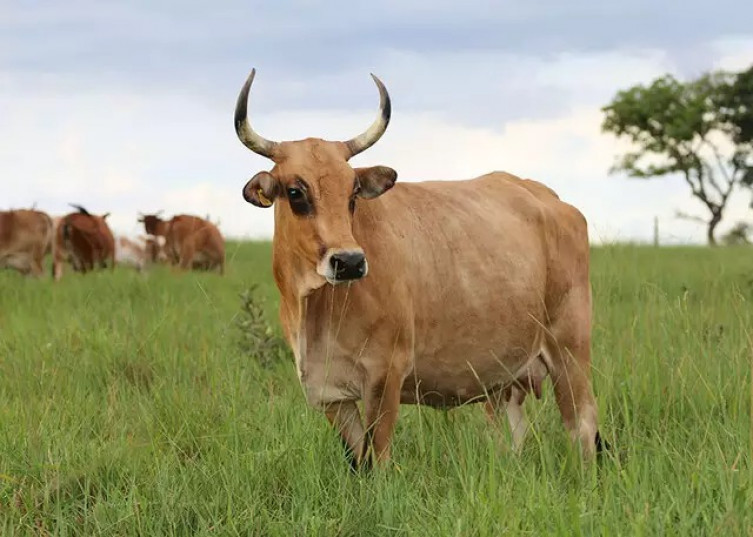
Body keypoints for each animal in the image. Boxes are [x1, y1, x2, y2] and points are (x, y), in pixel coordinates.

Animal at [232, 68, 608, 470]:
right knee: (512, 436)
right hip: (508, 381)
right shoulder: (332, 396)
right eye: (295, 192)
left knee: (583, 425)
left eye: (353, 193)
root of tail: (549, 198)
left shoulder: (385, 378)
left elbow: (376, 461)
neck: (316, 308)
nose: (350, 262)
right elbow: (357, 460)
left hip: (569, 351)